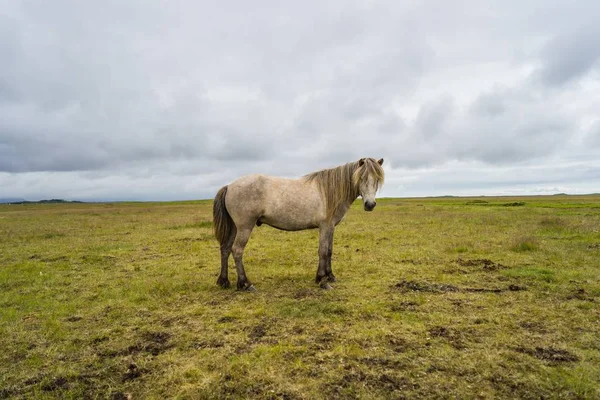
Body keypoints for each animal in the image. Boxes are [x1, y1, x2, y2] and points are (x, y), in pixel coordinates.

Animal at [213, 157, 386, 290]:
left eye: (377, 179)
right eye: (361, 178)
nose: (370, 205)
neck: (330, 191)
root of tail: (229, 186)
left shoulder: (331, 228)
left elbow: (329, 251)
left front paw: (330, 276)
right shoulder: (325, 227)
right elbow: (323, 251)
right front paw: (322, 281)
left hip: (235, 228)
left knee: (225, 249)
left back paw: (224, 281)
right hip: (244, 227)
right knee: (237, 250)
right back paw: (245, 284)